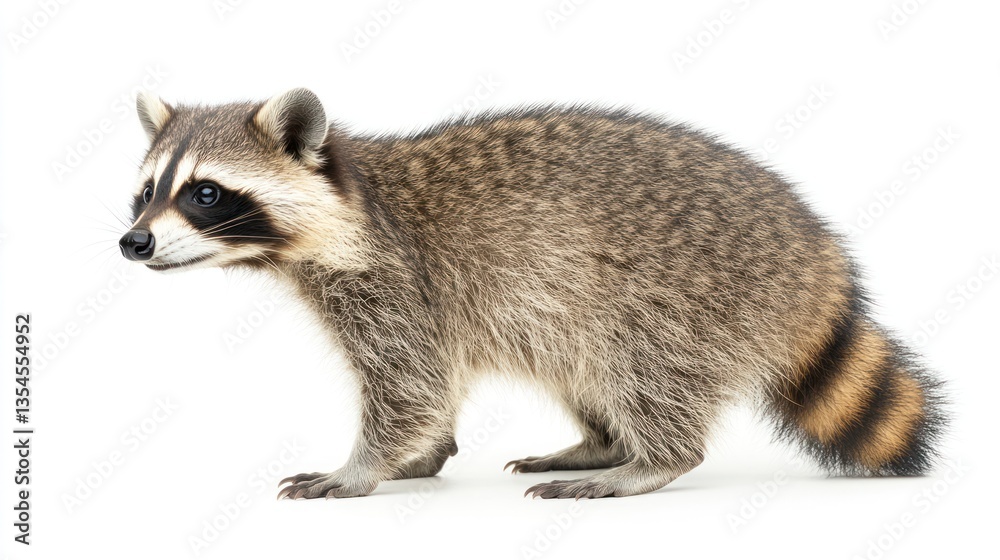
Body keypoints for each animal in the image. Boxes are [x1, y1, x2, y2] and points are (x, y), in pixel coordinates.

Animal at [119, 88, 946, 499]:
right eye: (145, 193)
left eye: (204, 193)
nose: (133, 243)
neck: (346, 204)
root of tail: (815, 257)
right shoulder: (416, 296)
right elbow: (436, 381)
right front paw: (425, 454)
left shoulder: (397, 277)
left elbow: (410, 383)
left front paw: (365, 466)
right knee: (580, 363)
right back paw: (601, 440)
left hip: (690, 292)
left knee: (644, 366)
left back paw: (651, 459)